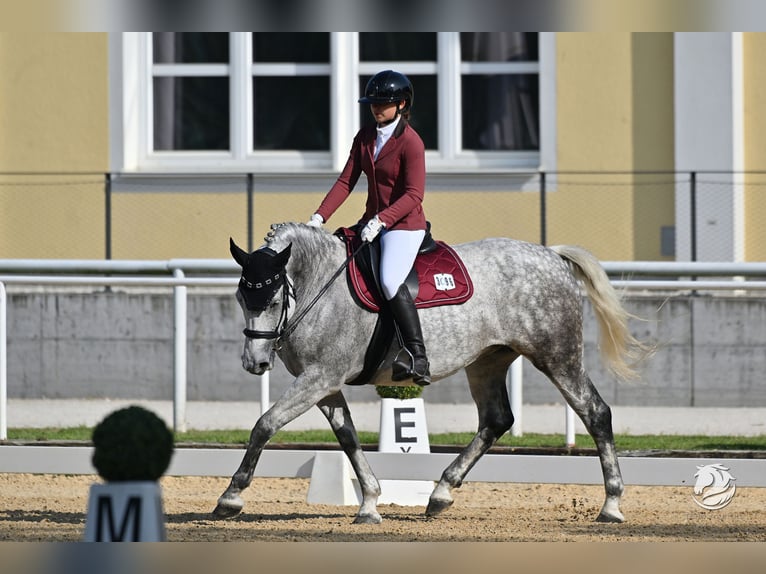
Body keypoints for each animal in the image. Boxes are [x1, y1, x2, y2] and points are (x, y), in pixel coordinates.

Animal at [214, 221, 650, 524]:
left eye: (273, 299)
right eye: (240, 297)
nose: (255, 363)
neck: (321, 286)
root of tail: (552, 256)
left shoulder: (320, 377)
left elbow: (265, 424)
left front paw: (230, 498)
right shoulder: (324, 383)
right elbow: (348, 439)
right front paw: (370, 502)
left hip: (557, 356)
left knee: (595, 413)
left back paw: (612, 505)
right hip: (487, 361)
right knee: (496, 420)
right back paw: (441, 493)